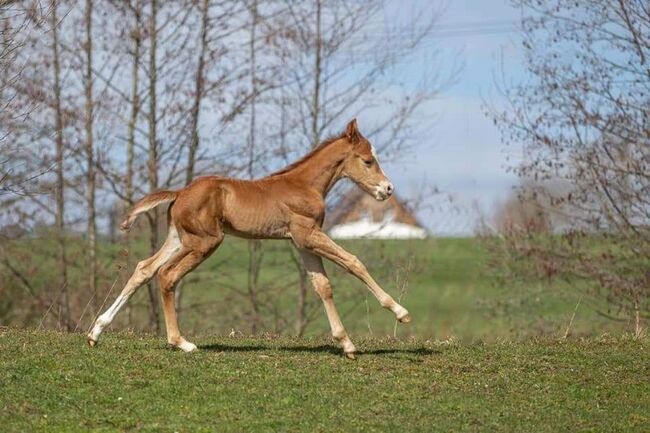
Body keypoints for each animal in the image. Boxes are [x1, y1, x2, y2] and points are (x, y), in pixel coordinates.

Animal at [88, 119, 408, 358]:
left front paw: (347, 344)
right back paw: (181, 342)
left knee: (144, 268)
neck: (304, 185)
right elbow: (353, 262)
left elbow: (323, 286)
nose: (388, 189)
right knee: (167, 274)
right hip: (204, 242)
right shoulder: (308, 234)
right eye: (368, 161)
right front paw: (400, 312)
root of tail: (179, 193)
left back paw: (96, 332)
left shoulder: (302, 242)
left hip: (179, 238)